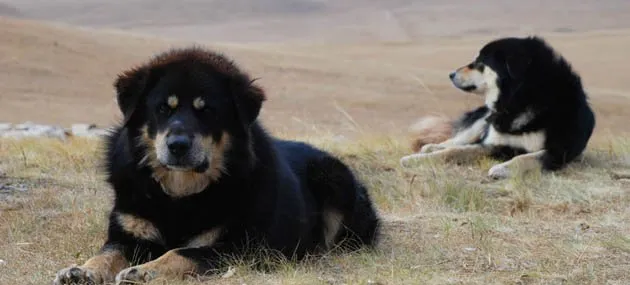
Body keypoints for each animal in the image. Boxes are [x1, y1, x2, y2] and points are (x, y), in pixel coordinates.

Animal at [54, 47, 380, 282]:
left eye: (207, 110)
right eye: (163, 108)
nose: (177, 145)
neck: (179, 196)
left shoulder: (235, 246)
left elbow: (181, 252)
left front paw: (145, 271)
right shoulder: (128, 234)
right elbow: (106, 254)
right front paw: (82, 270)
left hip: (333, 179)